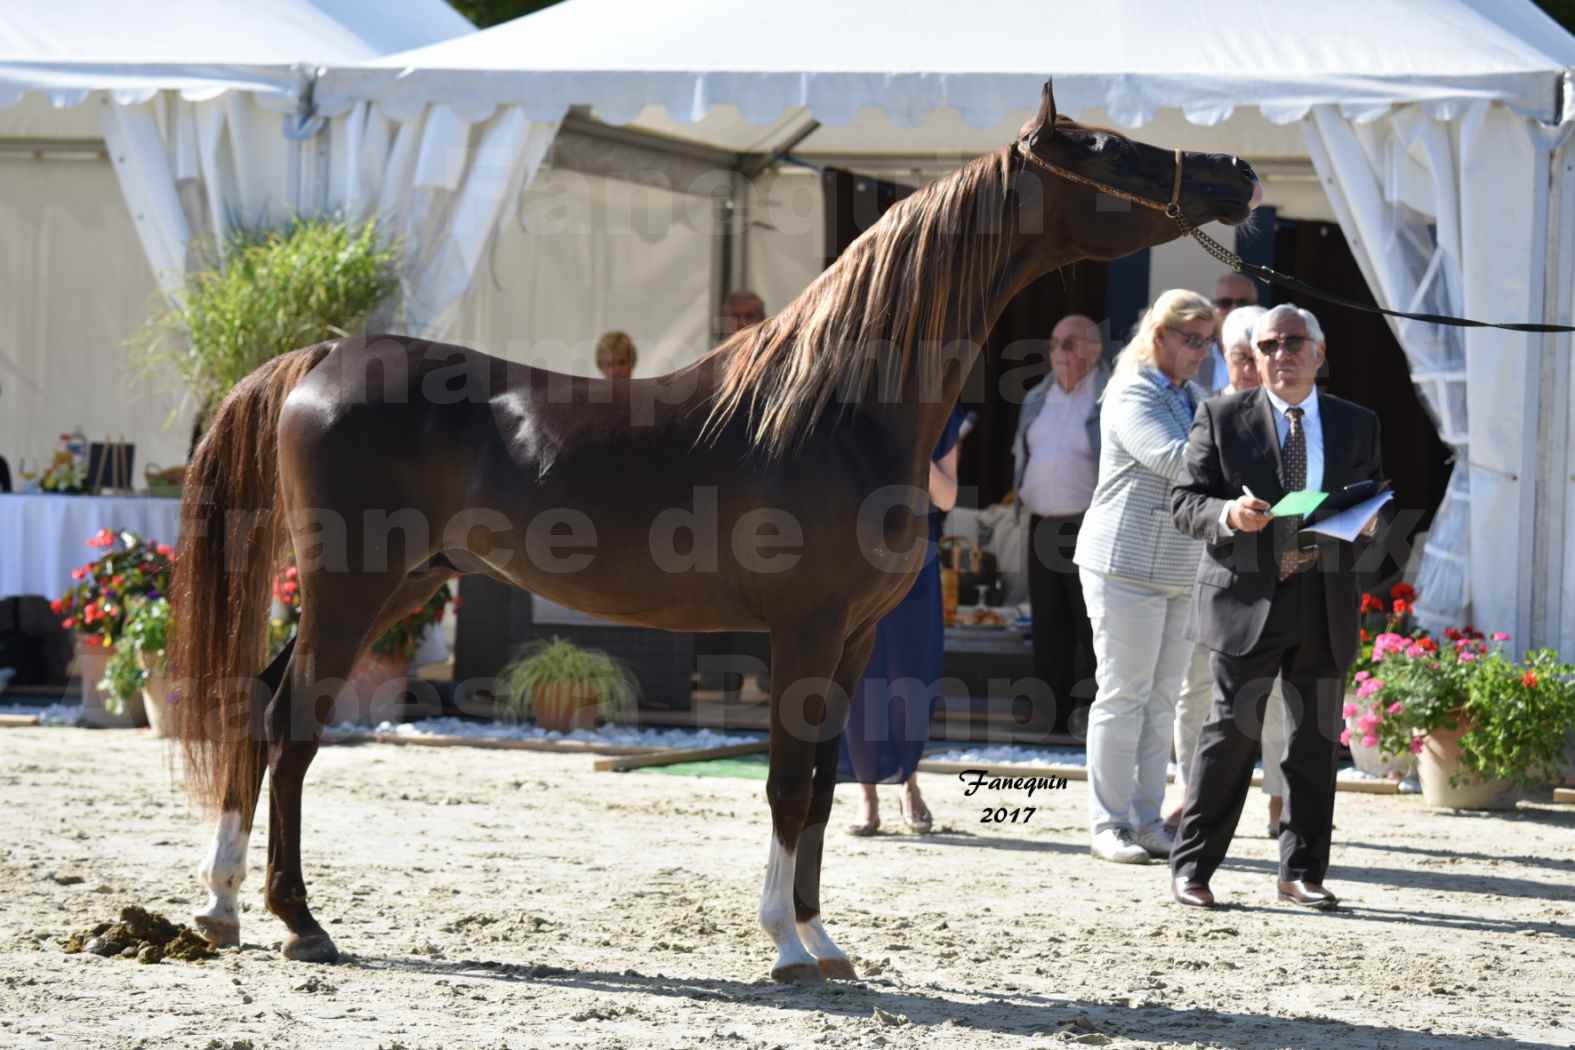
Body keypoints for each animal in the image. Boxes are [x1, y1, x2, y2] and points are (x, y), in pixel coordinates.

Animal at [169, 84, 1253, 988]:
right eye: (1108, 148)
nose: (1234, 173)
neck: (833, 407)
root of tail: (320, 355)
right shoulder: (805, 633)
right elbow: (780, 785)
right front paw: (782, 947)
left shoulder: (854, 639)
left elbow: (820, 788)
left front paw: (823, 940)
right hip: (353, 587)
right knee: (291, 724)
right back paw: (297, 921)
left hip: (390, 585)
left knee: (258, 708)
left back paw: (224, 908)